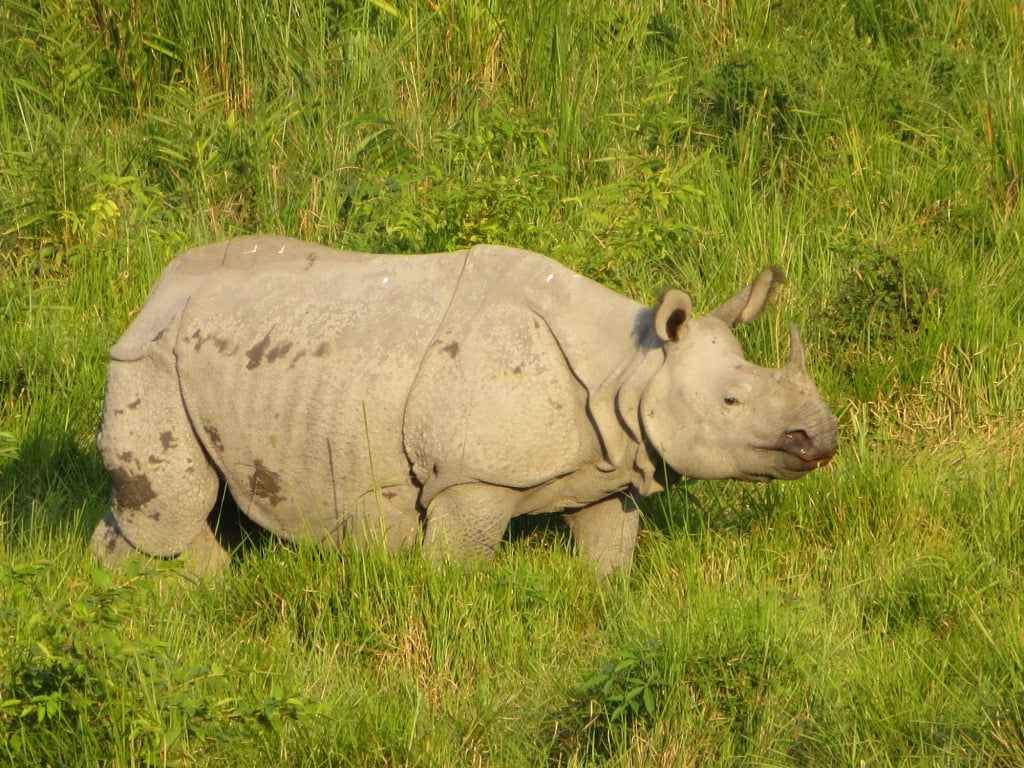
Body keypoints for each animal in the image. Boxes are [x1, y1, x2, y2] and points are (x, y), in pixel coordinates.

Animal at [92, 235, 837, 576]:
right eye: (732, 399)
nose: (822, 438)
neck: (633, 367)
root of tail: (154, 295)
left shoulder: (609, 464)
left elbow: (608, 551)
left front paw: (606, 596)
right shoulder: (472, 477)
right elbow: (460, 563)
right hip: (149, 357)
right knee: (175, 504)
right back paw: (203, 590)